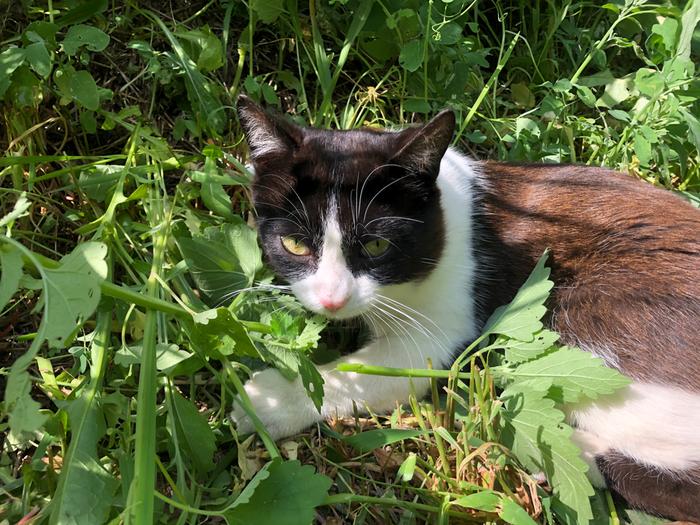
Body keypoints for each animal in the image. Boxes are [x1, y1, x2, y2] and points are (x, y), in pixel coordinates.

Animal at [231, 95, 700, 520]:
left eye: (377, 246)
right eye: (294, 243)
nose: (333, 298)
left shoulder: (444, 323)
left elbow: (375, 374)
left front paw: (267, 401)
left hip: (588, 311)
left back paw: (568, 450)